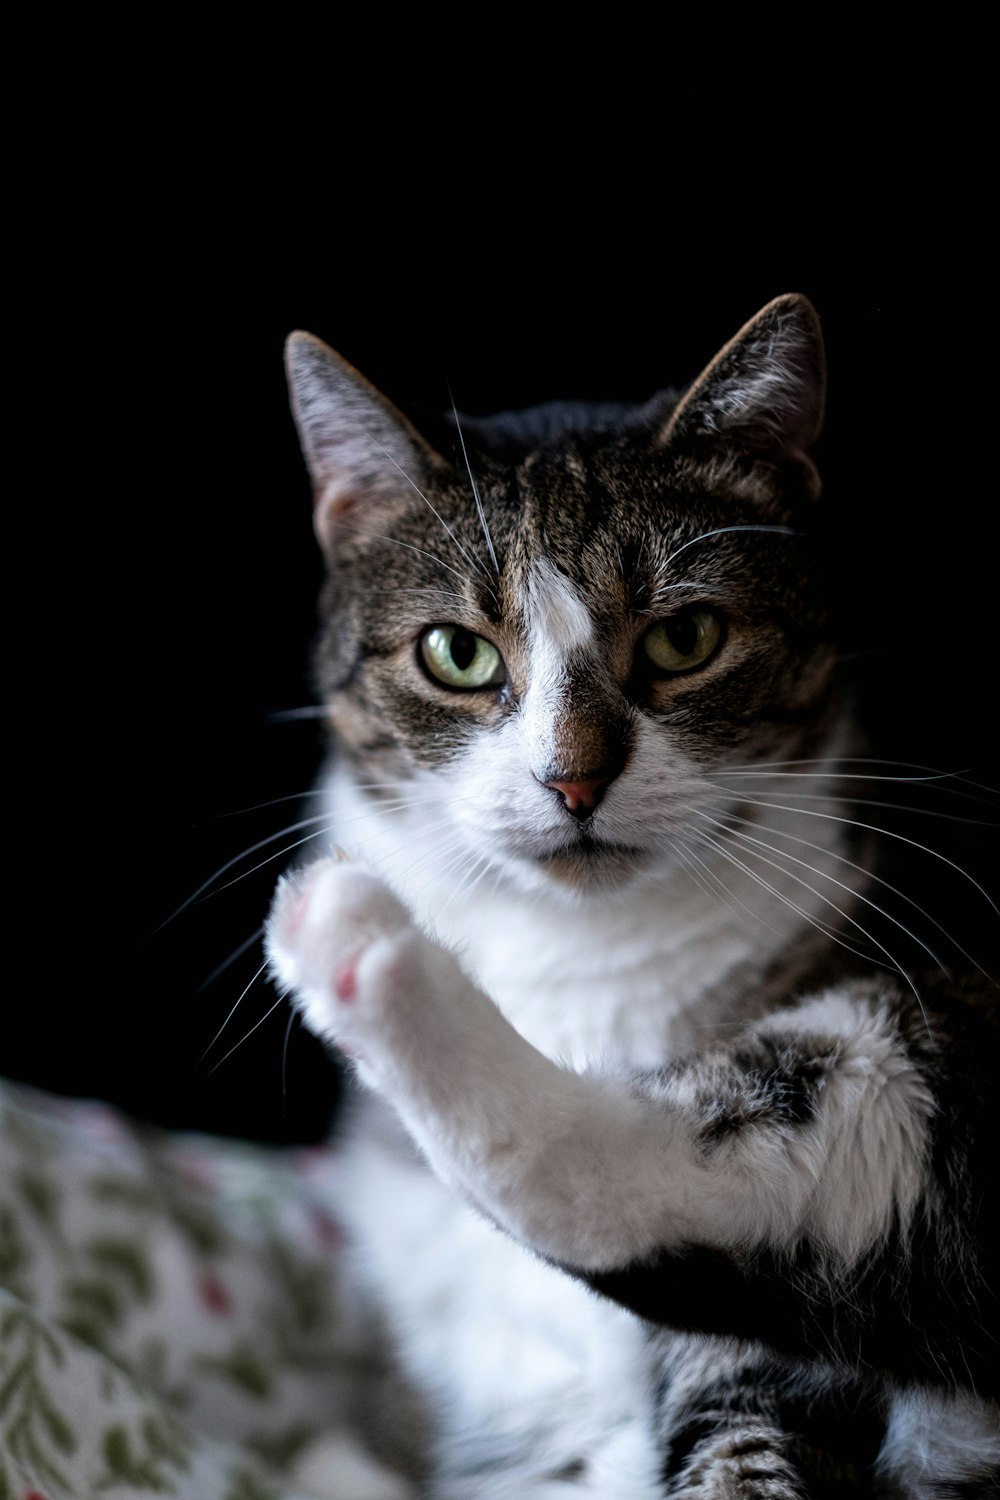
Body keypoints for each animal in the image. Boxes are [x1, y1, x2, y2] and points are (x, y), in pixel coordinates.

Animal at [265, 295, 1000, 1500]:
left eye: (684, 637)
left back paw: (358, 948)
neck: (584, 969)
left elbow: (747, 1449)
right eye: (457, 653)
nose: (574, 778)